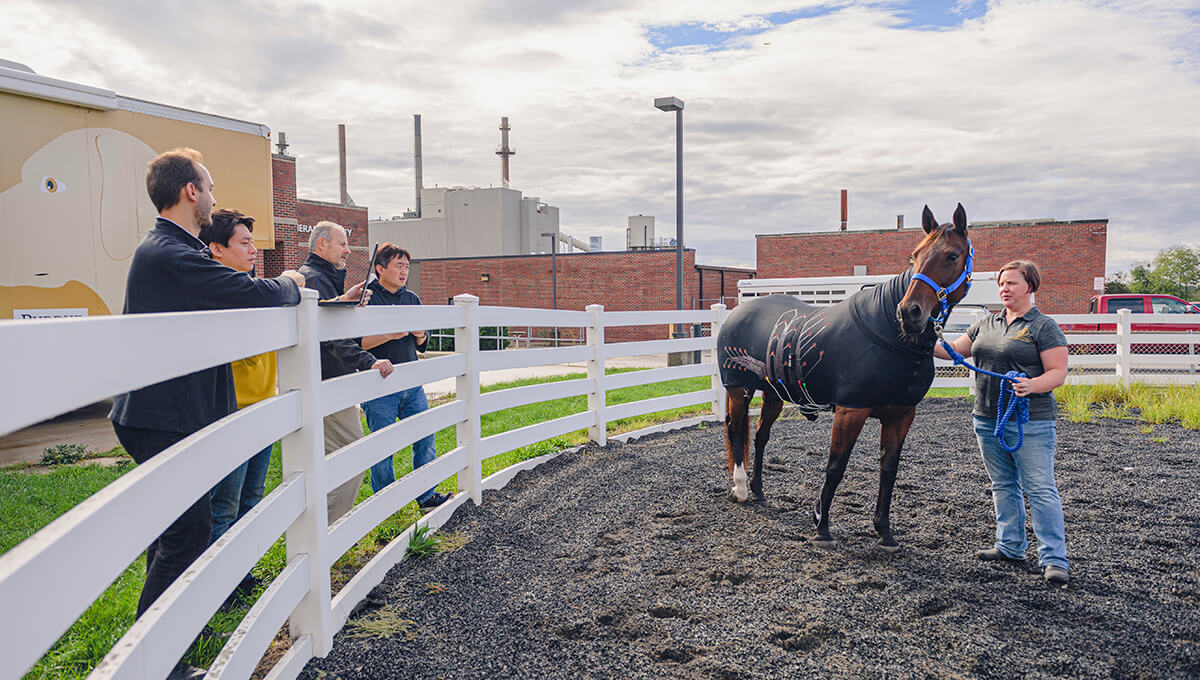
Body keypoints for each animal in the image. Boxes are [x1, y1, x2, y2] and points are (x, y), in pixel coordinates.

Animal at [716, 203, 973, 551]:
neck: (888, 332)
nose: (910, 312)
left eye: (952, 255)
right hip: (738, 389)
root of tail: (737, 313)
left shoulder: (902, 415)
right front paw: (822, 527)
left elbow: (888, 470)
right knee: (736, 430)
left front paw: (885, 531)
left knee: (760, 435)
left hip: (773, 394)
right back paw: (742, 488)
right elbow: (836, 467)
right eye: (915, 256)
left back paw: (757, 489)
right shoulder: (851, 412)